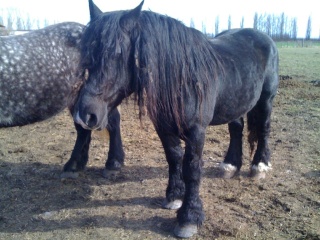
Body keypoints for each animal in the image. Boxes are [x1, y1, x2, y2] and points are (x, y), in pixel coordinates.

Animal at [74, 1, 278, 238]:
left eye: (117, 53)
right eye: (88, 54)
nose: (85, 115)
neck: (182, 78)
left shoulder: (196, 131)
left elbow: (192, 168)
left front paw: (188, 217)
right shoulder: (164, 128)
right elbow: (173, 158)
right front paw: (174, 196)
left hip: (266, 99)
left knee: (264, 128)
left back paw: (260, 166)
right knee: (236, 128)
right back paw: (230, 165)